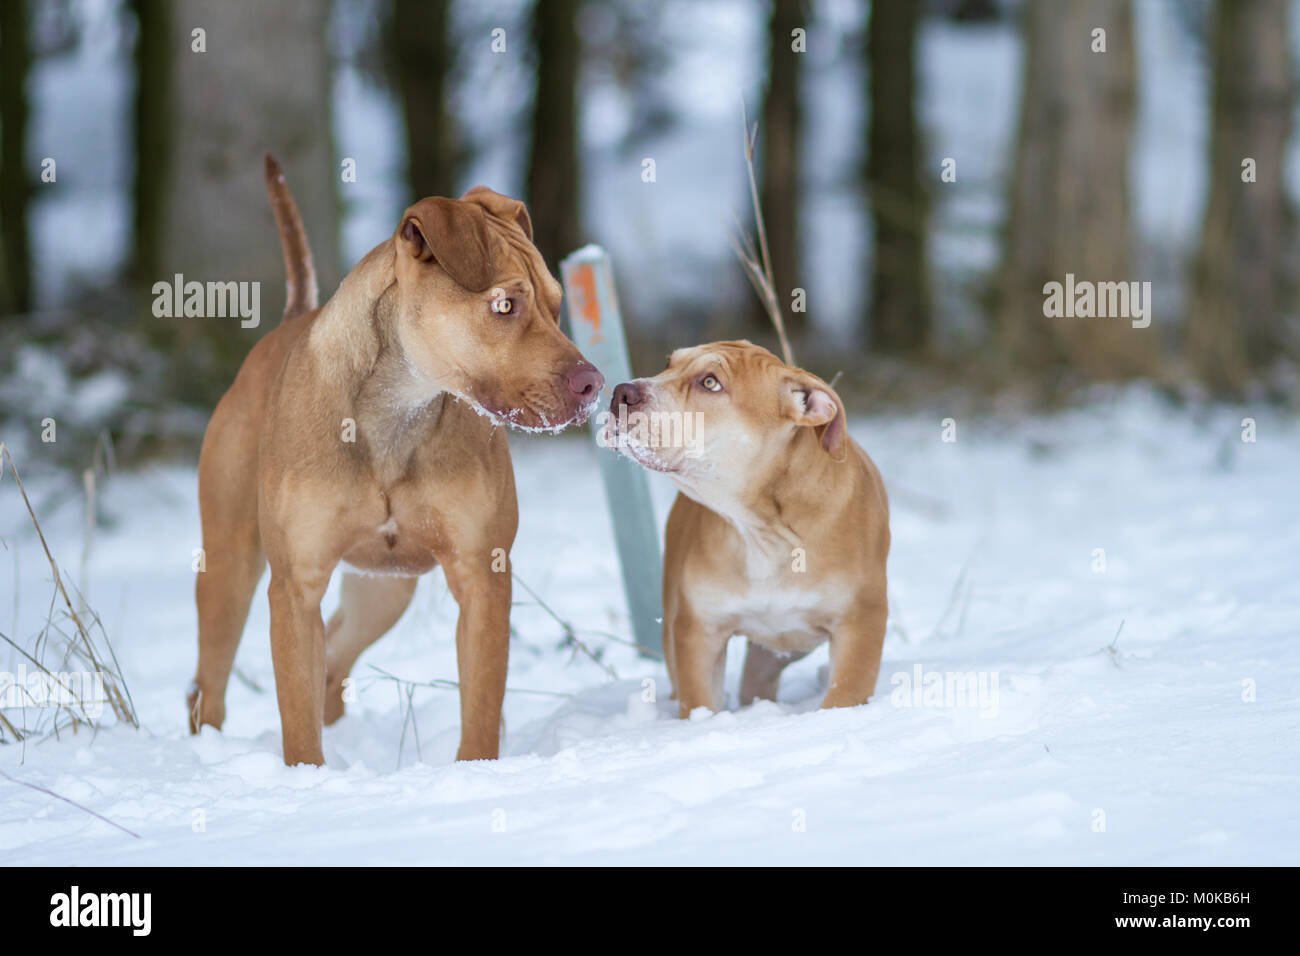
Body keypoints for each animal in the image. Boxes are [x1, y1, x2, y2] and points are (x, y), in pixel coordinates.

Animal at [188, 158, 603, 770]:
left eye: (556, 304)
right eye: (505, 305)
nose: (593, 383)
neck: (397, 408)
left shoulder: (481, 577)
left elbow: (481, 702)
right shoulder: (295, 588)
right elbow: (296, 717)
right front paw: (307, 777)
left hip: (384, 586)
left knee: (336, 654)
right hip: (230, 564)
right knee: (212, 682)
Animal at [603, 343, 889, 717]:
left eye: (710, 382)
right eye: (668, 364)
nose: (622, 392)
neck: (764, 529)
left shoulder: (860, 620)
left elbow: (845, 694)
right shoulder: (699, 629)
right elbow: (699, 700)